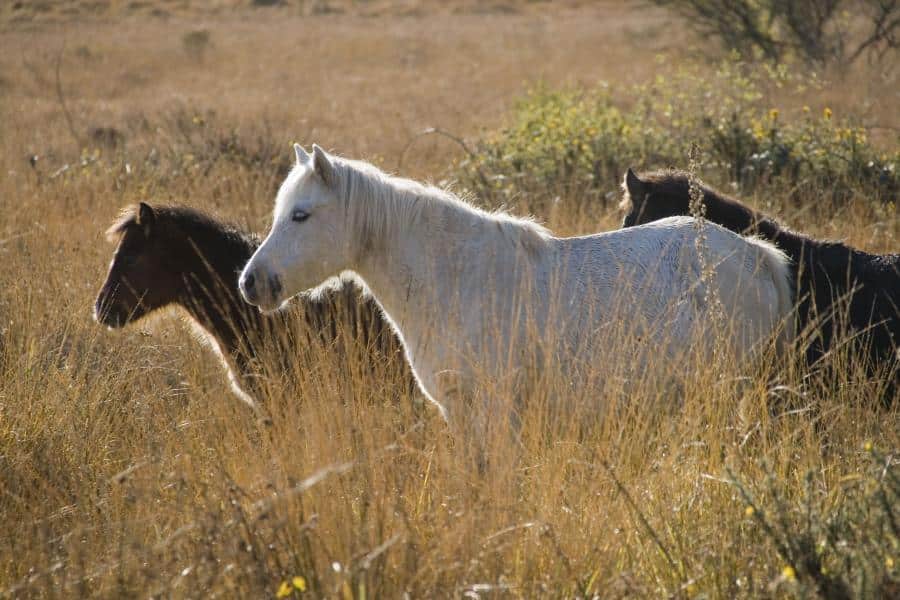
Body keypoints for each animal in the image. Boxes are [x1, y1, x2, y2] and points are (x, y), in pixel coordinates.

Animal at [239, 145, 796, 426]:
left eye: (301, 215)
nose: (251, 282)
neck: (455, 280)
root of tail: (759, 257)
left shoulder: (495, 411)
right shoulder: (459, 413)